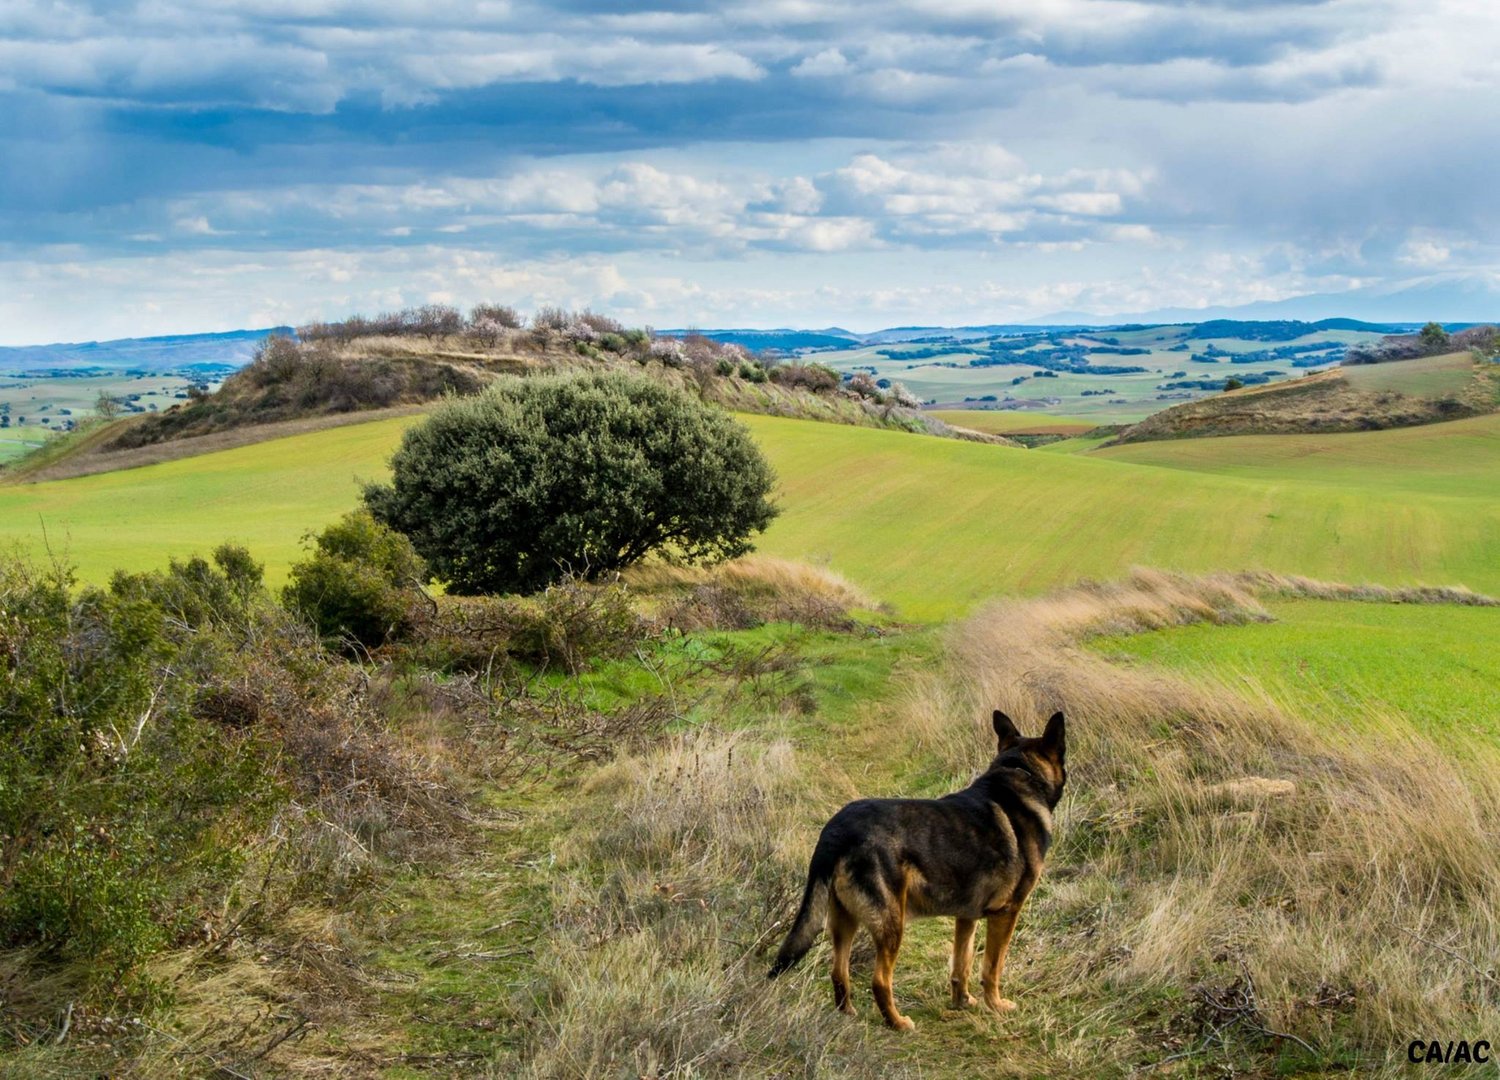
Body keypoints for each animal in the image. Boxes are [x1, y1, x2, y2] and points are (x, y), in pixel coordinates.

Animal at [762, 708, 1068, 1032]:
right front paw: (996, 1005)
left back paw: (848, 1015)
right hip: (892, 922)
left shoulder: (966, 916)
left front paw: (963, 1002)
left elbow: (962, 963)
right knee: (879, 981)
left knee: (838, 972)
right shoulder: (1006, 913)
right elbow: (991, 967)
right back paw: (897, 1023)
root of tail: (836, 831)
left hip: (844, 922)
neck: (1019, 773)